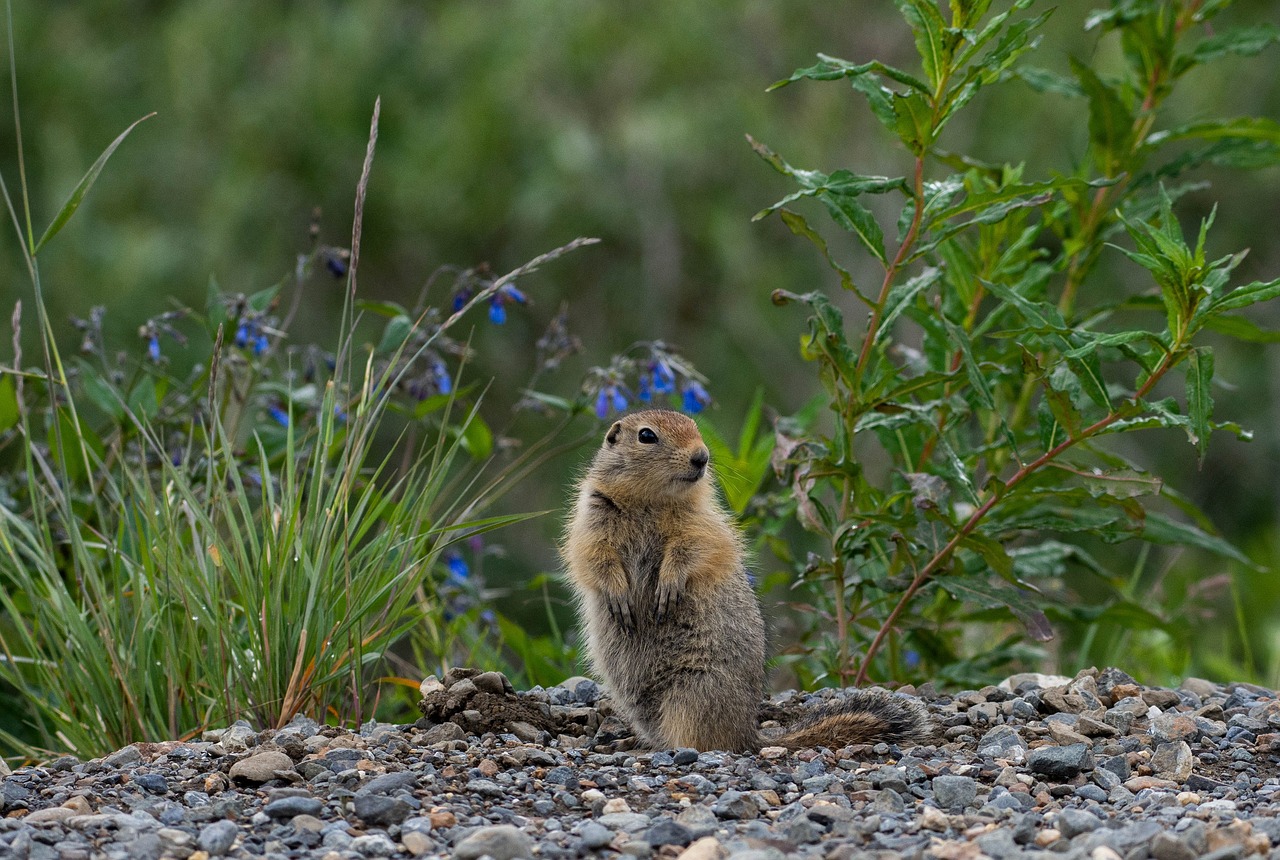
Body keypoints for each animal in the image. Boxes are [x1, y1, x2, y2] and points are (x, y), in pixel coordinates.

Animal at [560, 409, 931, 752]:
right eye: (646, 435)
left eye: (695, 427)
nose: (701, 456)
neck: (650, 500)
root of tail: (749, 733)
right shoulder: (591, 518)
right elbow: (593, 557)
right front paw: (619, 597)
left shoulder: (702, 524)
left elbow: (693, 550)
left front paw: (668, 588)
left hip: (694, 693)